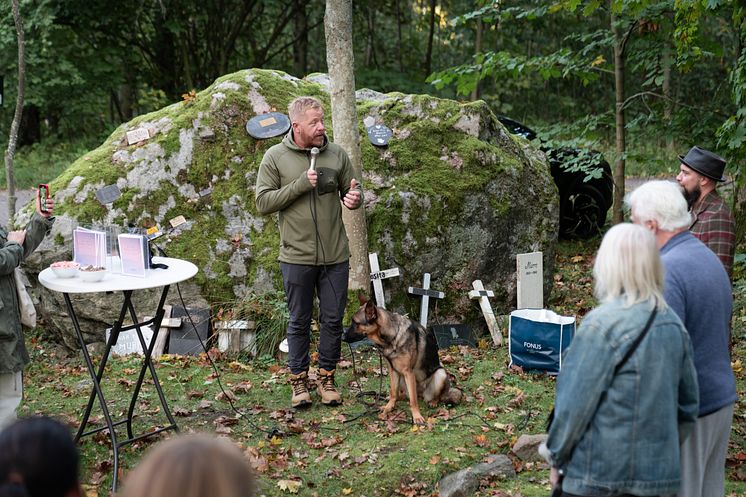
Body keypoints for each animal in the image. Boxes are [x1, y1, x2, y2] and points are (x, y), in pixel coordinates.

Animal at [348, 296, 460, 424]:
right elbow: (393, 393)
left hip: (440, 374)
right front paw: (388, 408)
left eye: (355, 323)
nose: (342, 336)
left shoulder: (408, 372)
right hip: (401, 378)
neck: (393, 336)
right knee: (400, 394)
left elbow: (413, 400)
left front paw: (416, 416)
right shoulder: (393, 370)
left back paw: (433, 402)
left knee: (434, 396)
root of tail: (421, 393)